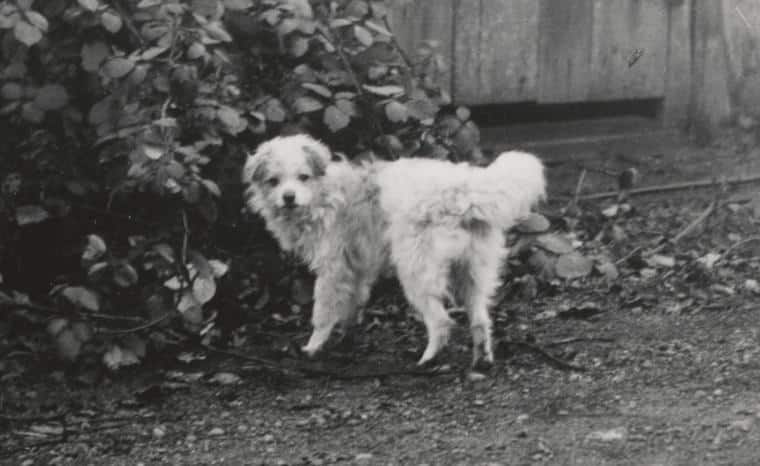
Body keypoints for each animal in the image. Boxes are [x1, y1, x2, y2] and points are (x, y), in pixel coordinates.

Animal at [240, 134, 544, 368]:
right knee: (480, 319)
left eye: (303, 177)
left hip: (416, 272)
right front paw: (345, 338)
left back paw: (428, 359)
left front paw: (313, 346)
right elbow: (351, 305)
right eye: (274, 181)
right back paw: (482, 359)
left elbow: (323, 312)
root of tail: (461, 191)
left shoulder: (332, 269)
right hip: (471, 274)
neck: (325, 193)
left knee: (441, 322)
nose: (288, 197)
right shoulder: (355, 270)